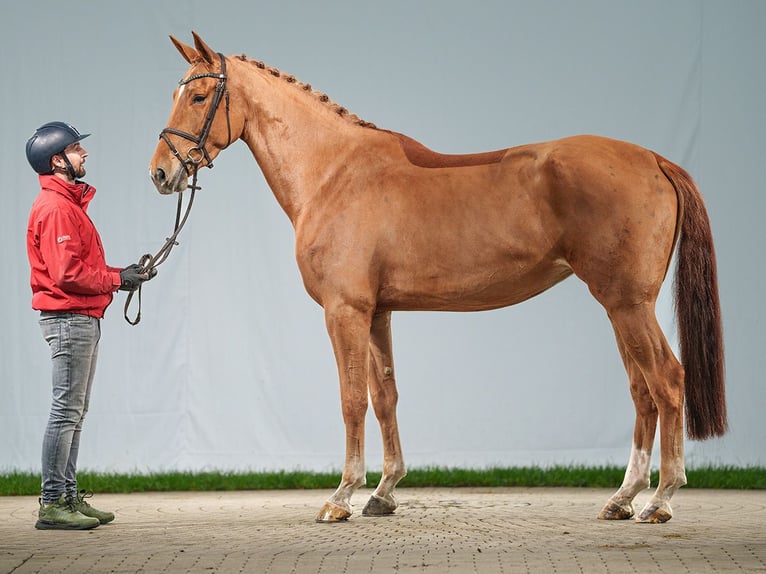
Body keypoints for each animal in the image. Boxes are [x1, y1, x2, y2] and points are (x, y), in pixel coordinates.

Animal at [148, 32, 728, 528]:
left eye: (198, 95)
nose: (160, 174)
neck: (333, 172)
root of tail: (654, 159)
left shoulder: (345, 311)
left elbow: (351, 399)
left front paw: (341, 497)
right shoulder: (378, 312)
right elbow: (385, 394)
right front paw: (383, 493)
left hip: (628, 304)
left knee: (667, 381)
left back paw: (661, 500)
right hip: (620, 305)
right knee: (642, 391)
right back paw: (622, 498)